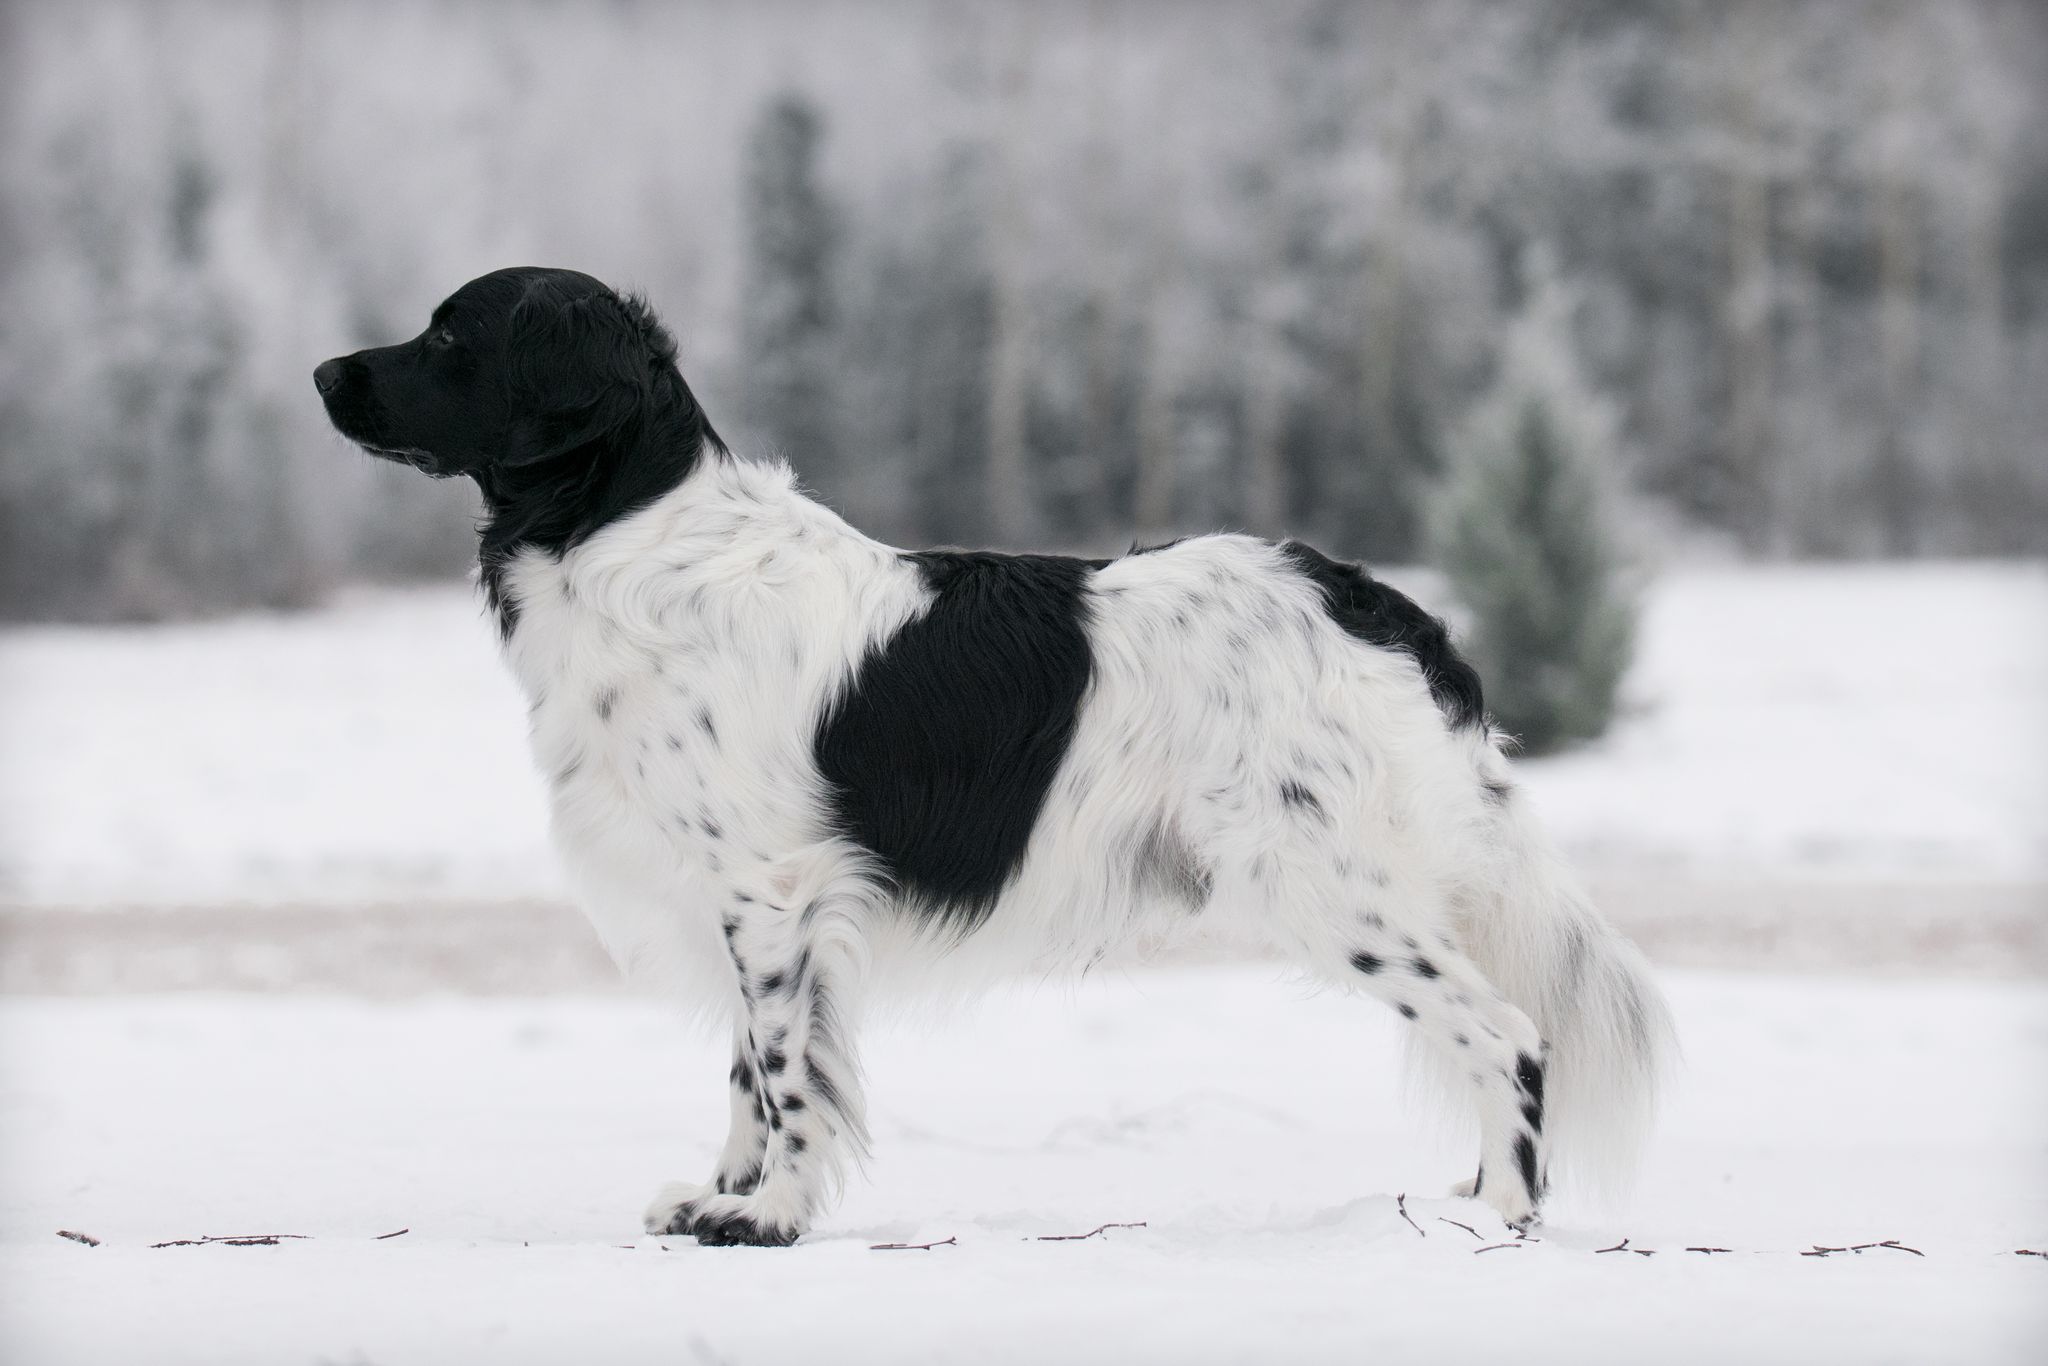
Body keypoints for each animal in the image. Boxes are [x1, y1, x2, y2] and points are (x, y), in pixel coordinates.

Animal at [315, 264, 1662, 1253]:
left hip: (1330, 886)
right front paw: (721, 1197)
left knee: (1509, 1033)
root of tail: (1380, 605)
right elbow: (748, 1070)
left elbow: (783, 1071)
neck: (629, 530)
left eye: (448, 335)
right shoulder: (748, 902)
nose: (325, 371)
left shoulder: (769, 890)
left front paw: (769, 1216)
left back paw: (1496, 1220)